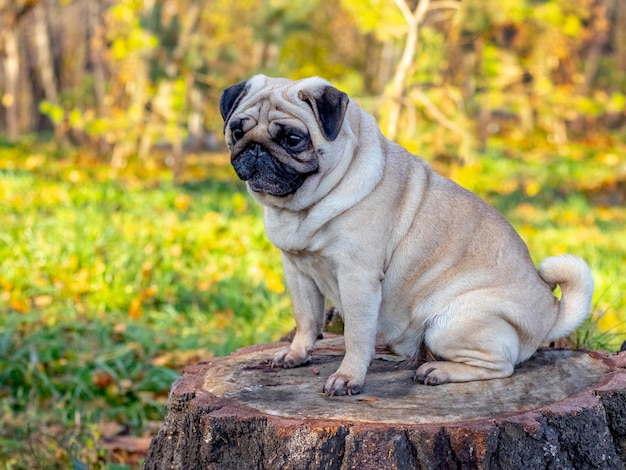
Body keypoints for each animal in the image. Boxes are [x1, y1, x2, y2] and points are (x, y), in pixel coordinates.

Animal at [221, 74, 596, 396]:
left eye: (293, 139)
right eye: (237, 131)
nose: (255, 148)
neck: (301, 208)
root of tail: (550, 313)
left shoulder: (357, 278)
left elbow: (356, 335)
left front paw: (348, 377)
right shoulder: (298, 272)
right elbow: (306, 319)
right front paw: (297, 353)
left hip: (450, 323)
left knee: (502, 366)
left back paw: (438, 371)